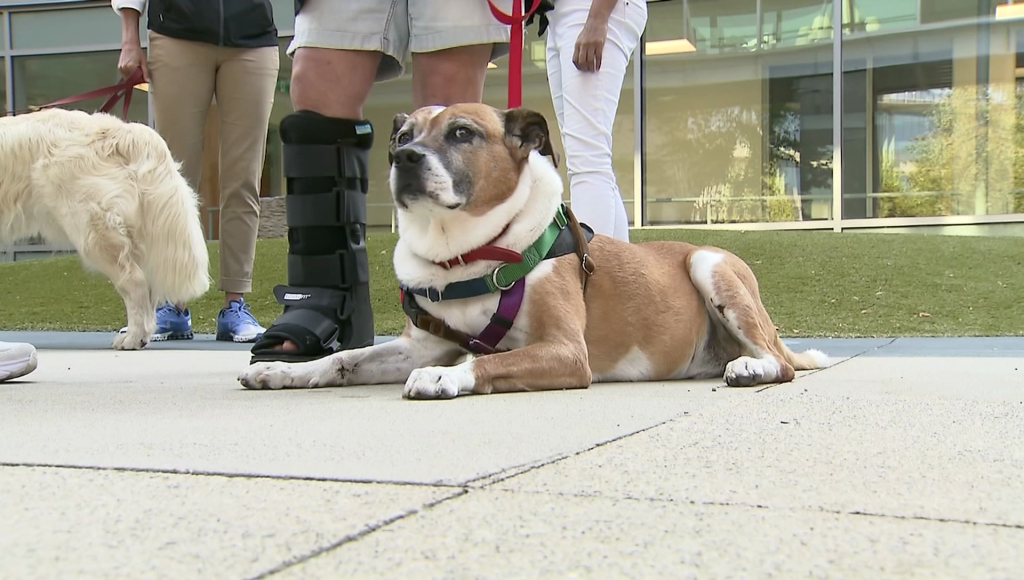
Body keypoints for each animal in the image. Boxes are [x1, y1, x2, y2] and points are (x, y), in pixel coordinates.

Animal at [235, 103, 827, 399]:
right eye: (402, 134)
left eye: (461, 132)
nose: (404, 156)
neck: (466, 253)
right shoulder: (419, 344)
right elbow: (344, 359)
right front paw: (284, 372)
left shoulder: (566, 351)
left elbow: (490, 359)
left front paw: (448, 376)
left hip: (712, 264)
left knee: (782, 364)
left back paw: (751, 367)